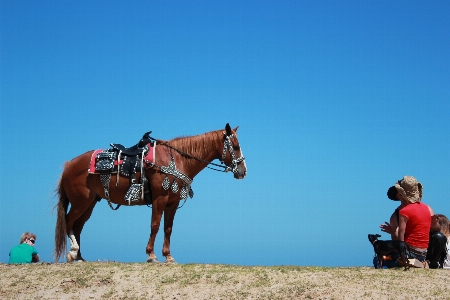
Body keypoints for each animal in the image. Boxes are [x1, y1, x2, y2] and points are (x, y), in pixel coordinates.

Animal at [55, 123, 250, 262]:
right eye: (235, 146)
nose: (243, 171)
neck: (176, 159)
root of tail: (68, 166)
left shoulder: (172, 202)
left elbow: (168, 228)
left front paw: (168, 256)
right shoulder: (160, 198)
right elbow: (155, 225)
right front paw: (151, 255)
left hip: (89, 204)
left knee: (78, 226)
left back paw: (80, 257)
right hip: (80, 202)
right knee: (69, 222)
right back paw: (72, 253)